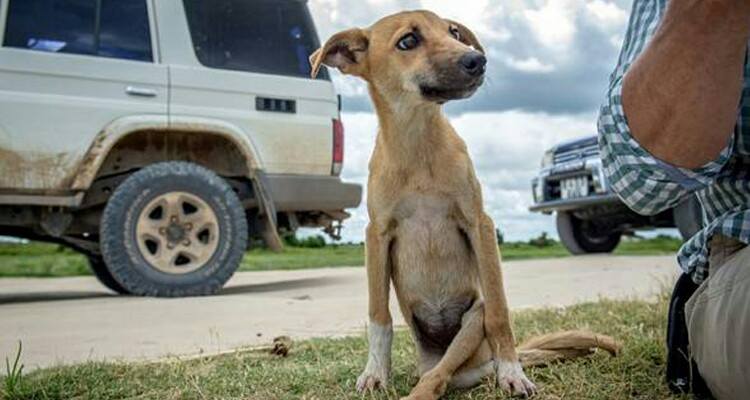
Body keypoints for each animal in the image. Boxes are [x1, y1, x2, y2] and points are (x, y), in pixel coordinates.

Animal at [308, 10, 620, 400]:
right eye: (408, 41)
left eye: (454, 32)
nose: (478, 60)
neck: (418, 146)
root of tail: (477, 364)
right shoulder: (376, 234)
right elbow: (379, 316)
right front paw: (375, 373)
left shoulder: (479, 224)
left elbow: (500, 311)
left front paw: (513, 372)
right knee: (436, 373)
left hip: (471, 324)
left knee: (441, 375)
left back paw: (482, 373)